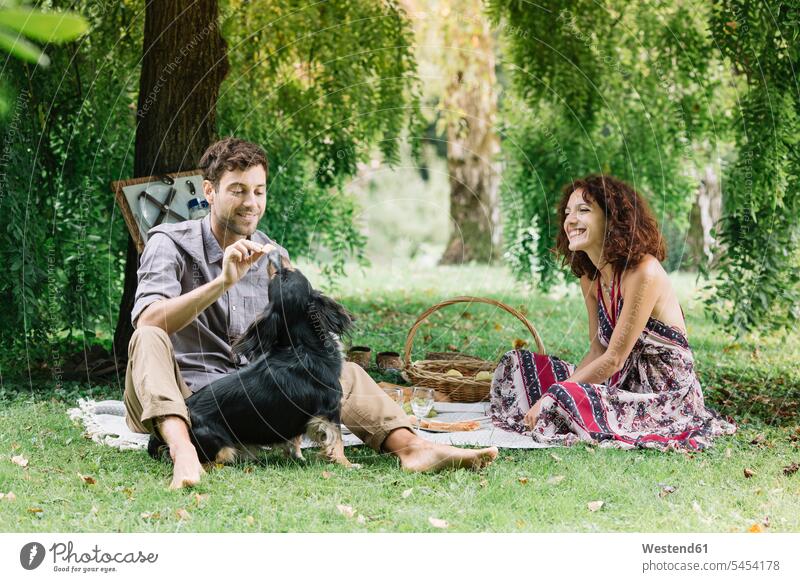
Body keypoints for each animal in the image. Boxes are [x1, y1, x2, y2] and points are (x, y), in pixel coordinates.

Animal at [146, 251, 356, 470]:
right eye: (282, 274)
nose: (273, 253)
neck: (302, 345)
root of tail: (157, 436)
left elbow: (295, 441)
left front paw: (297, 456)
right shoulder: (330, 410)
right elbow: (337, 440)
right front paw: (347, 464)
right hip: (222, 448)